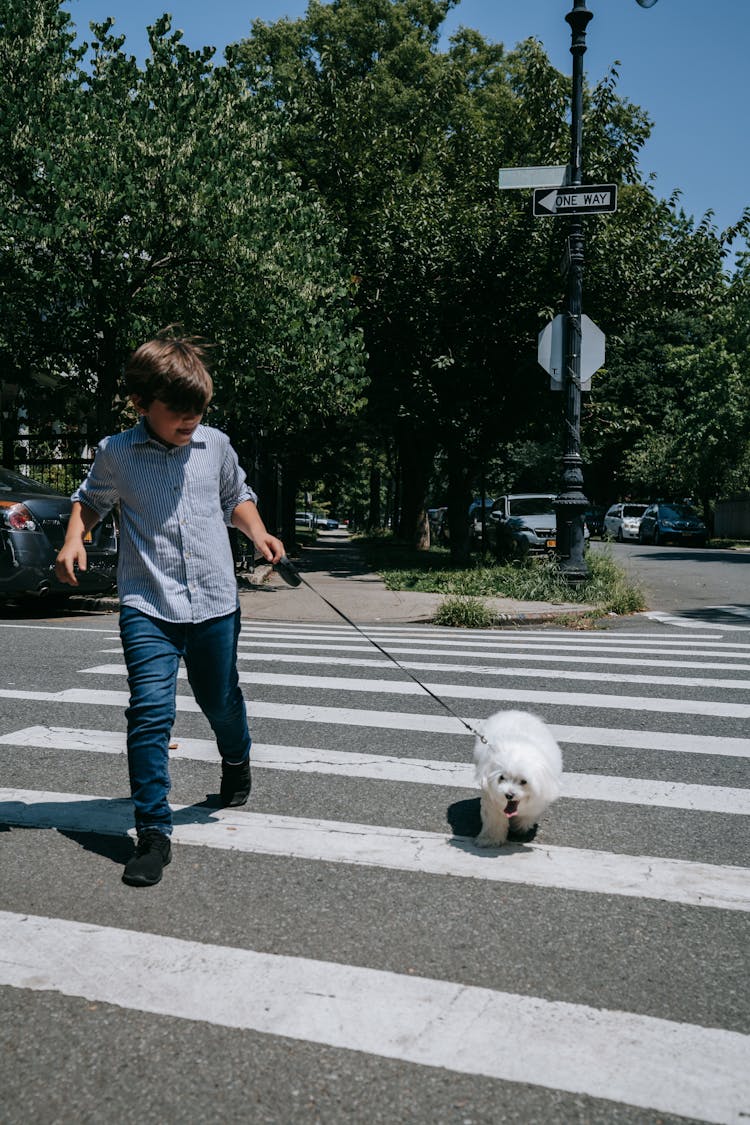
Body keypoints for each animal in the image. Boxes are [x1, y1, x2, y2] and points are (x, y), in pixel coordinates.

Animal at [474, 711, 562, 846]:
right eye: (502, 778)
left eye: (523, 782)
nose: (509, 795)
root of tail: (516, 712)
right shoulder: (491, 799)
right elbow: (494, 820)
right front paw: (489, 839)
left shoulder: (538, 801)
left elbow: (528, 815)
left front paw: (520, 827)